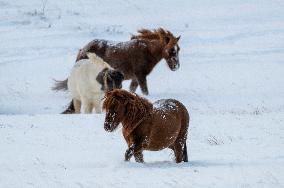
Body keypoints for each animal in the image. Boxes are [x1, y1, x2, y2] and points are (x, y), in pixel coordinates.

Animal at [53, 27, 181, 95]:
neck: (147, 51)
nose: (176, 66)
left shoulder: (135, 78)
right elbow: (145, 91)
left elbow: (132, 90)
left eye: (178, 49)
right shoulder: (140, 76)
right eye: (171, 50)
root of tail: (83, 50)